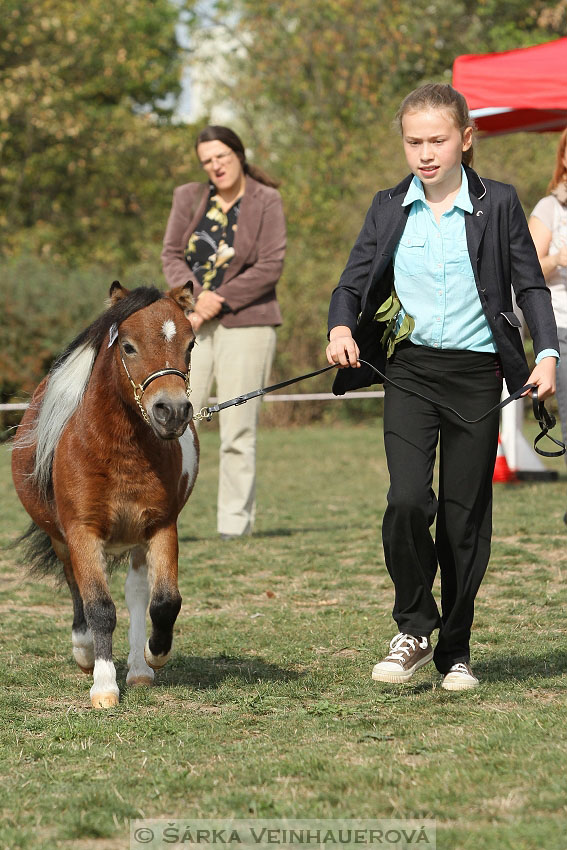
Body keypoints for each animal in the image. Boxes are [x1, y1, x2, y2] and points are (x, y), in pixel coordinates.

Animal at [11, 282, 200, 704]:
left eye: (191, 343)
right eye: (128, 346)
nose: (172, 411)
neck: (118, 450)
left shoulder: (162, 527)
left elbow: (165, 602)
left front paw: (153, 654)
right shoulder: (81, 532)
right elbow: (98, 606)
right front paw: (103, 684)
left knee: (136, 593)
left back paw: (140, 669)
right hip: (62, 539)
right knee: (76, 587)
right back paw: (84, 651)